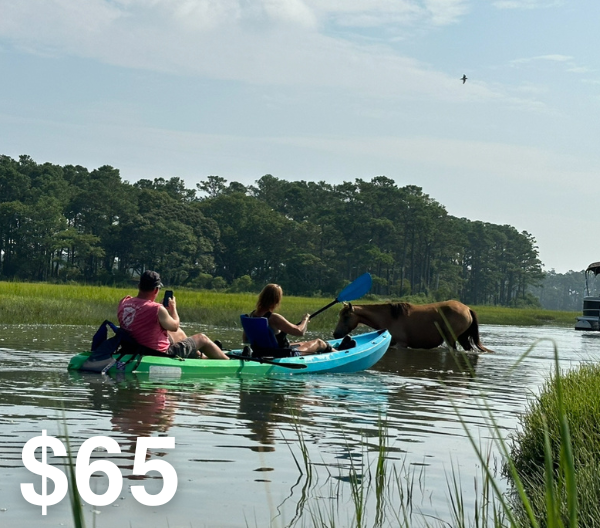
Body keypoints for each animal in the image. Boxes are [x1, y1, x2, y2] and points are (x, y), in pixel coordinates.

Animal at [332, 300, 492, 352]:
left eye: (346, 316)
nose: (336, 334)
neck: (389, 317)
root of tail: (467, 309)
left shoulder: (401, 345)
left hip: (451, 339)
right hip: (462, 338)